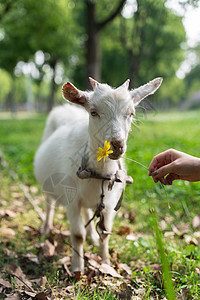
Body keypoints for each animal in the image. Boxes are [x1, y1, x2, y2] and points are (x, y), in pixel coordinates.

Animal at [34, 77, 162, 272]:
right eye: (93, 112)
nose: (117, 145)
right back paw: (46, 229)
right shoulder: (71, 199)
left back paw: (92, 237)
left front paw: (106, 264)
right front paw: (77, 268)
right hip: (48, 185)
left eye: (131, 113)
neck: (99, 173)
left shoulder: (109, 203)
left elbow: (106, 234)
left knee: (88, 211)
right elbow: (77, 235)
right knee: (50, 206)